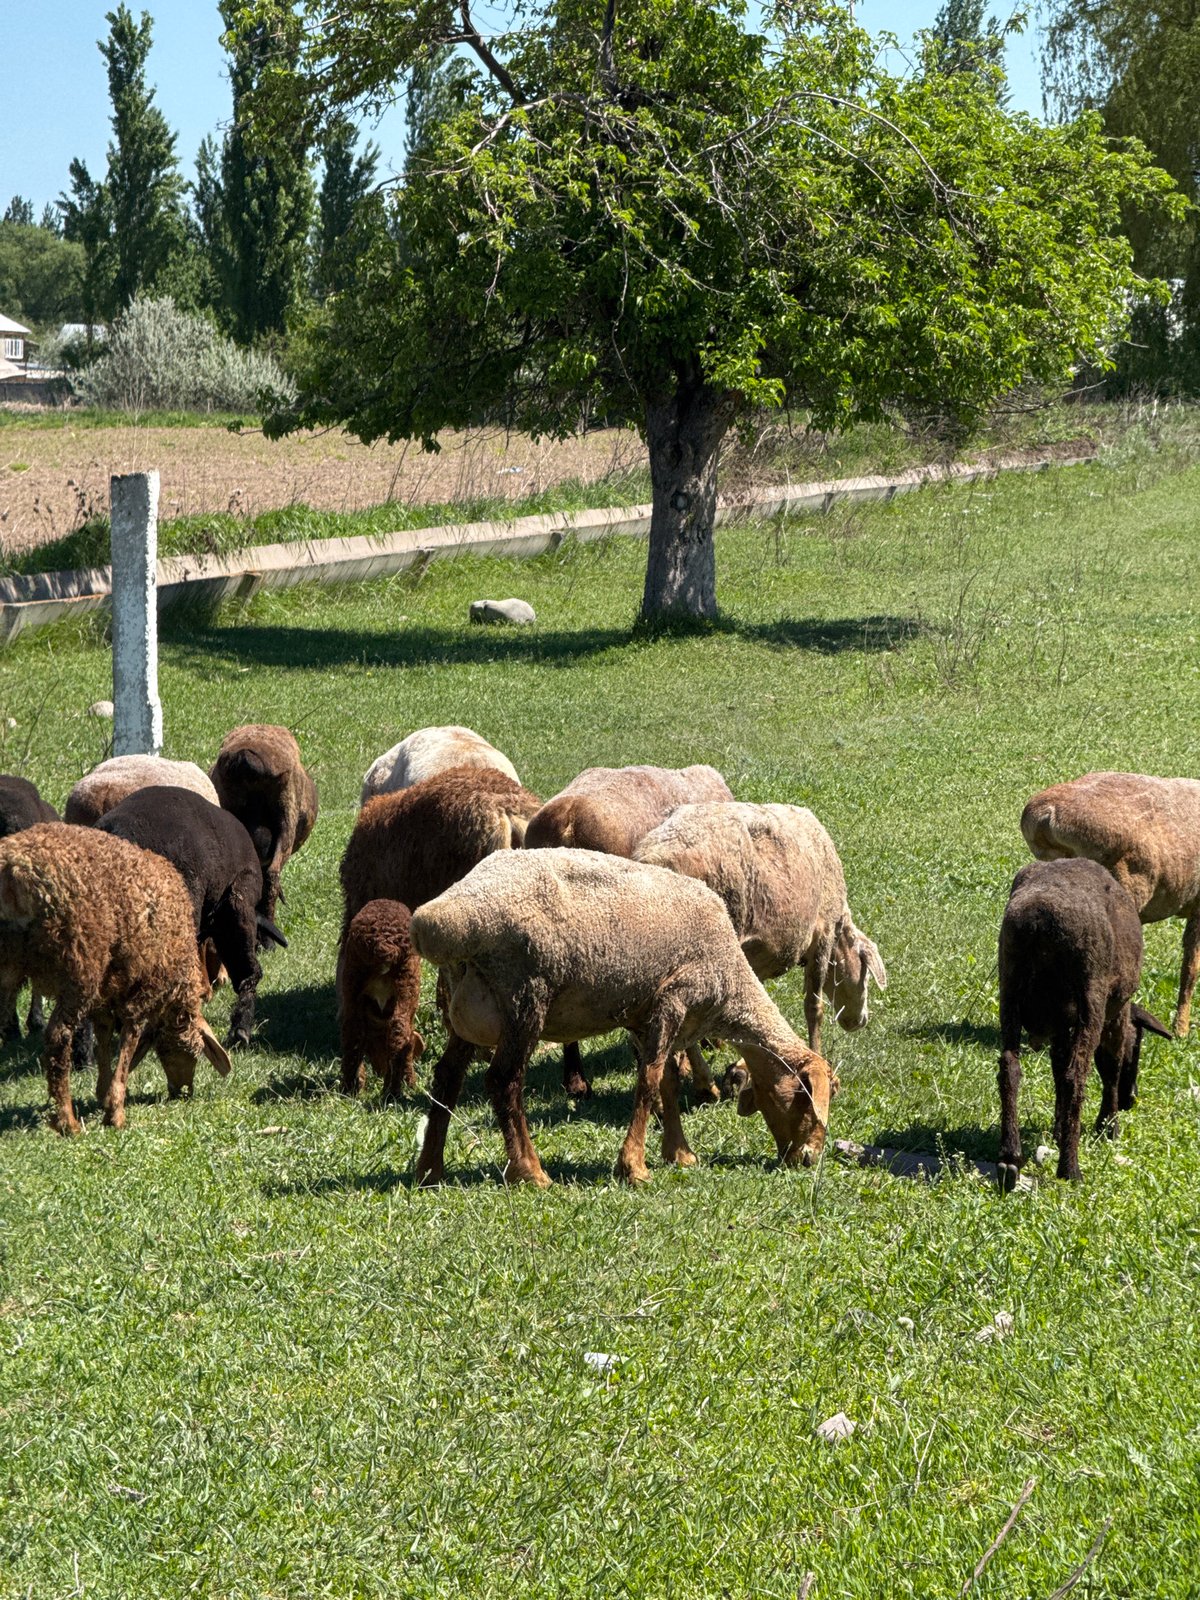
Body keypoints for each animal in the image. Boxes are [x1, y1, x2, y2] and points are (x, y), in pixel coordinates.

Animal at [0, 823, 232, 1134]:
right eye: (192, 1052)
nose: (182, 1092)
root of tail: (14, 871)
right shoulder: (144, 989)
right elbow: (128, 1040)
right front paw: (115, 1110)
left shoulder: (106, 993)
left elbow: (104, 1036)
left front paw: (102, 1092)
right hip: (79, 966)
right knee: (59, 1038)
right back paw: (67, 1121)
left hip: (10, 968)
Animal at [339, 899, 425, 1099]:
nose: (380, 1070)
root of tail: (384, 944)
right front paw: (410, 1083)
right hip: (407, 980)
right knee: (399, 1030)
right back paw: (392, 1092)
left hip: (353, 979)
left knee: (352, 1032)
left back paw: (350, 1089)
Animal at [409, 848, 838, 1189]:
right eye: (810, 1101)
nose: (808, 1159)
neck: (731, 985)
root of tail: (442, 917)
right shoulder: (674, 998)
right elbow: (648, 1083)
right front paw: (633, 1167)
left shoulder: (644, 1016)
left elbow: (666, 1082)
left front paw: (679, 1153)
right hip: (525, 997)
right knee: (503, 1082)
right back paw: (530, 1172)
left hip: (469, 1005)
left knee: (446, 1078)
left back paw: (430, 1169)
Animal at [635, 802, 886, 1057]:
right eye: (866, 974)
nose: (860, 1021)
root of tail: (656, 855)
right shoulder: (823, 935)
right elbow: (814, 1008)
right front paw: (816, 1051)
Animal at [997, 857, 1170, 1188]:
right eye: (1139, 1045)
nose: (1131, 1099)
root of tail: (1039, 918)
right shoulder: (1115, 1013)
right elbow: (1111, 1066)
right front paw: (1108, 1126)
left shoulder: (1061, 1024)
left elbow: (1057, 1066)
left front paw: (1058, 1129)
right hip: (1091, 993)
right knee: (1075, 1076)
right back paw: (1070, 1168)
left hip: (1009, 986)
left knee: (1010, 1068)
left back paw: (1009, 1160)